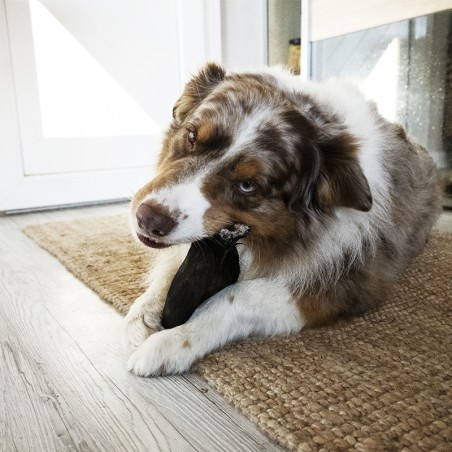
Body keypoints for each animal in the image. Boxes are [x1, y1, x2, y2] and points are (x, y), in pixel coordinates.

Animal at [122, 61, 440, 376]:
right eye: (191, 137)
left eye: (247, 185)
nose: (148, 219)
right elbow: (170, 270)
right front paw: (143, 312)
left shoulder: (347, 283)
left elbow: (238, 295)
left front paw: (175, 339)